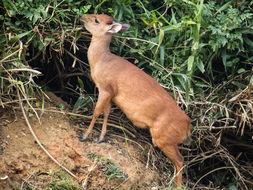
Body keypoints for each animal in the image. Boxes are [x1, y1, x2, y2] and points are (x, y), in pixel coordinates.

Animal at [79, 14, 190, 187]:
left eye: (96, 20)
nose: (81, 17)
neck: (101, 60)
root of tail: (188, 125)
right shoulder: (111, 94)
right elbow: (106, 113)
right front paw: (100, 138)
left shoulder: (105, 88)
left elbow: (97, 111)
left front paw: (85, 136)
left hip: (164, 139)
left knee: (180, 160)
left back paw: (176, 186)